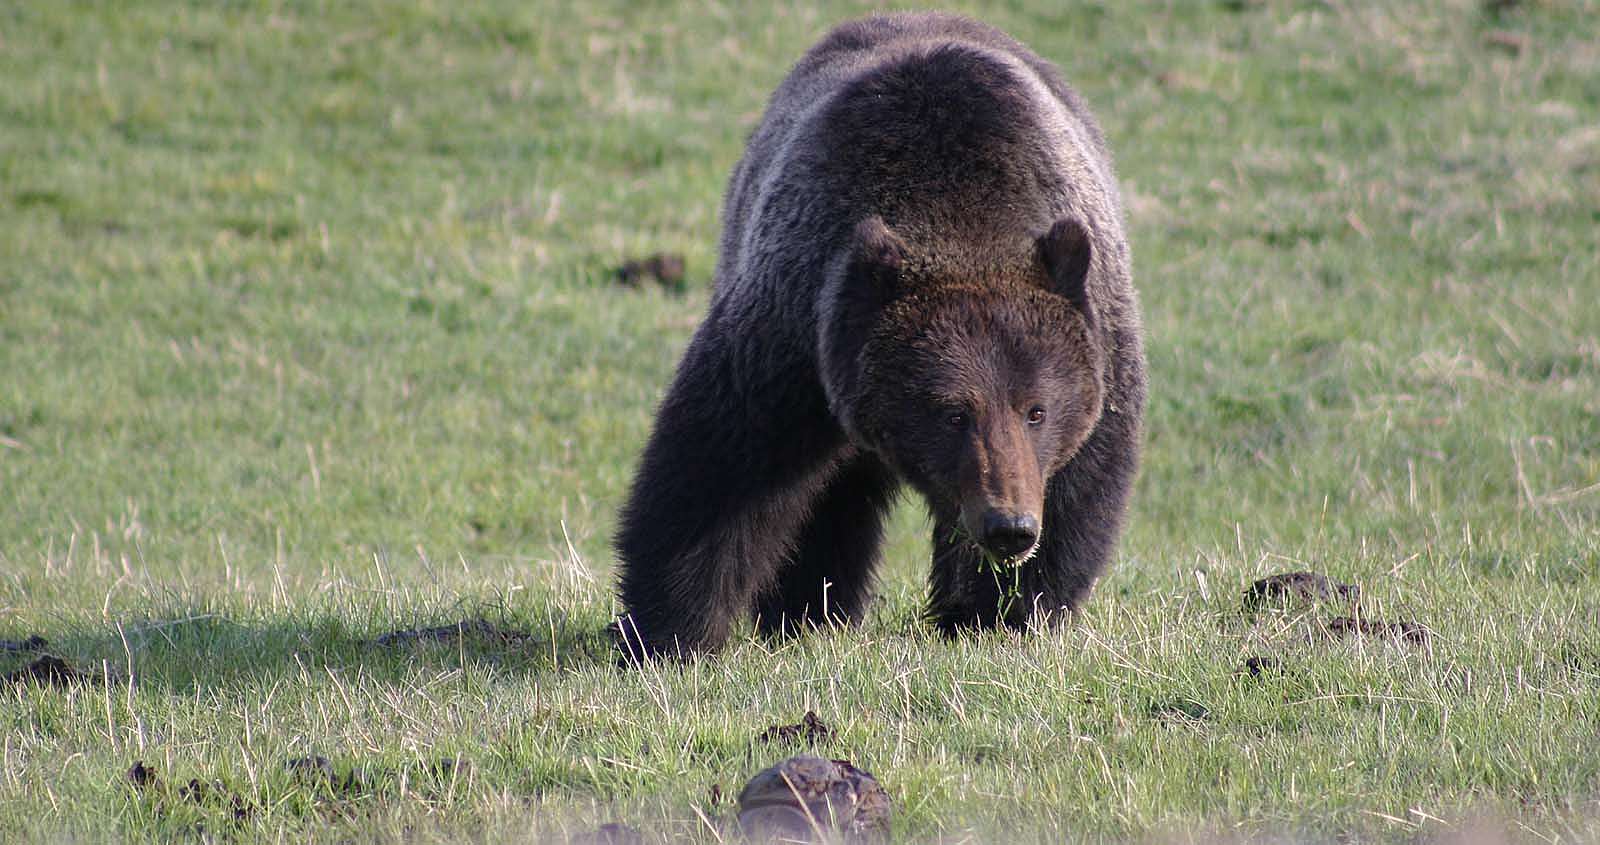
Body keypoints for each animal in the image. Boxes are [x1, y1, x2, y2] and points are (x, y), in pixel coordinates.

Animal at [614, 11, 1145, 659]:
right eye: (952, 411)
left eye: (1037, 410)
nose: (1010, 527)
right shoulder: (798, 335)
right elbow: (717, 472)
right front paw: (667, 632)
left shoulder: (1100, 344)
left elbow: (1081, 482)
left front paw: (1002, 614)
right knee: (830, 502)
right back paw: (812, 613)